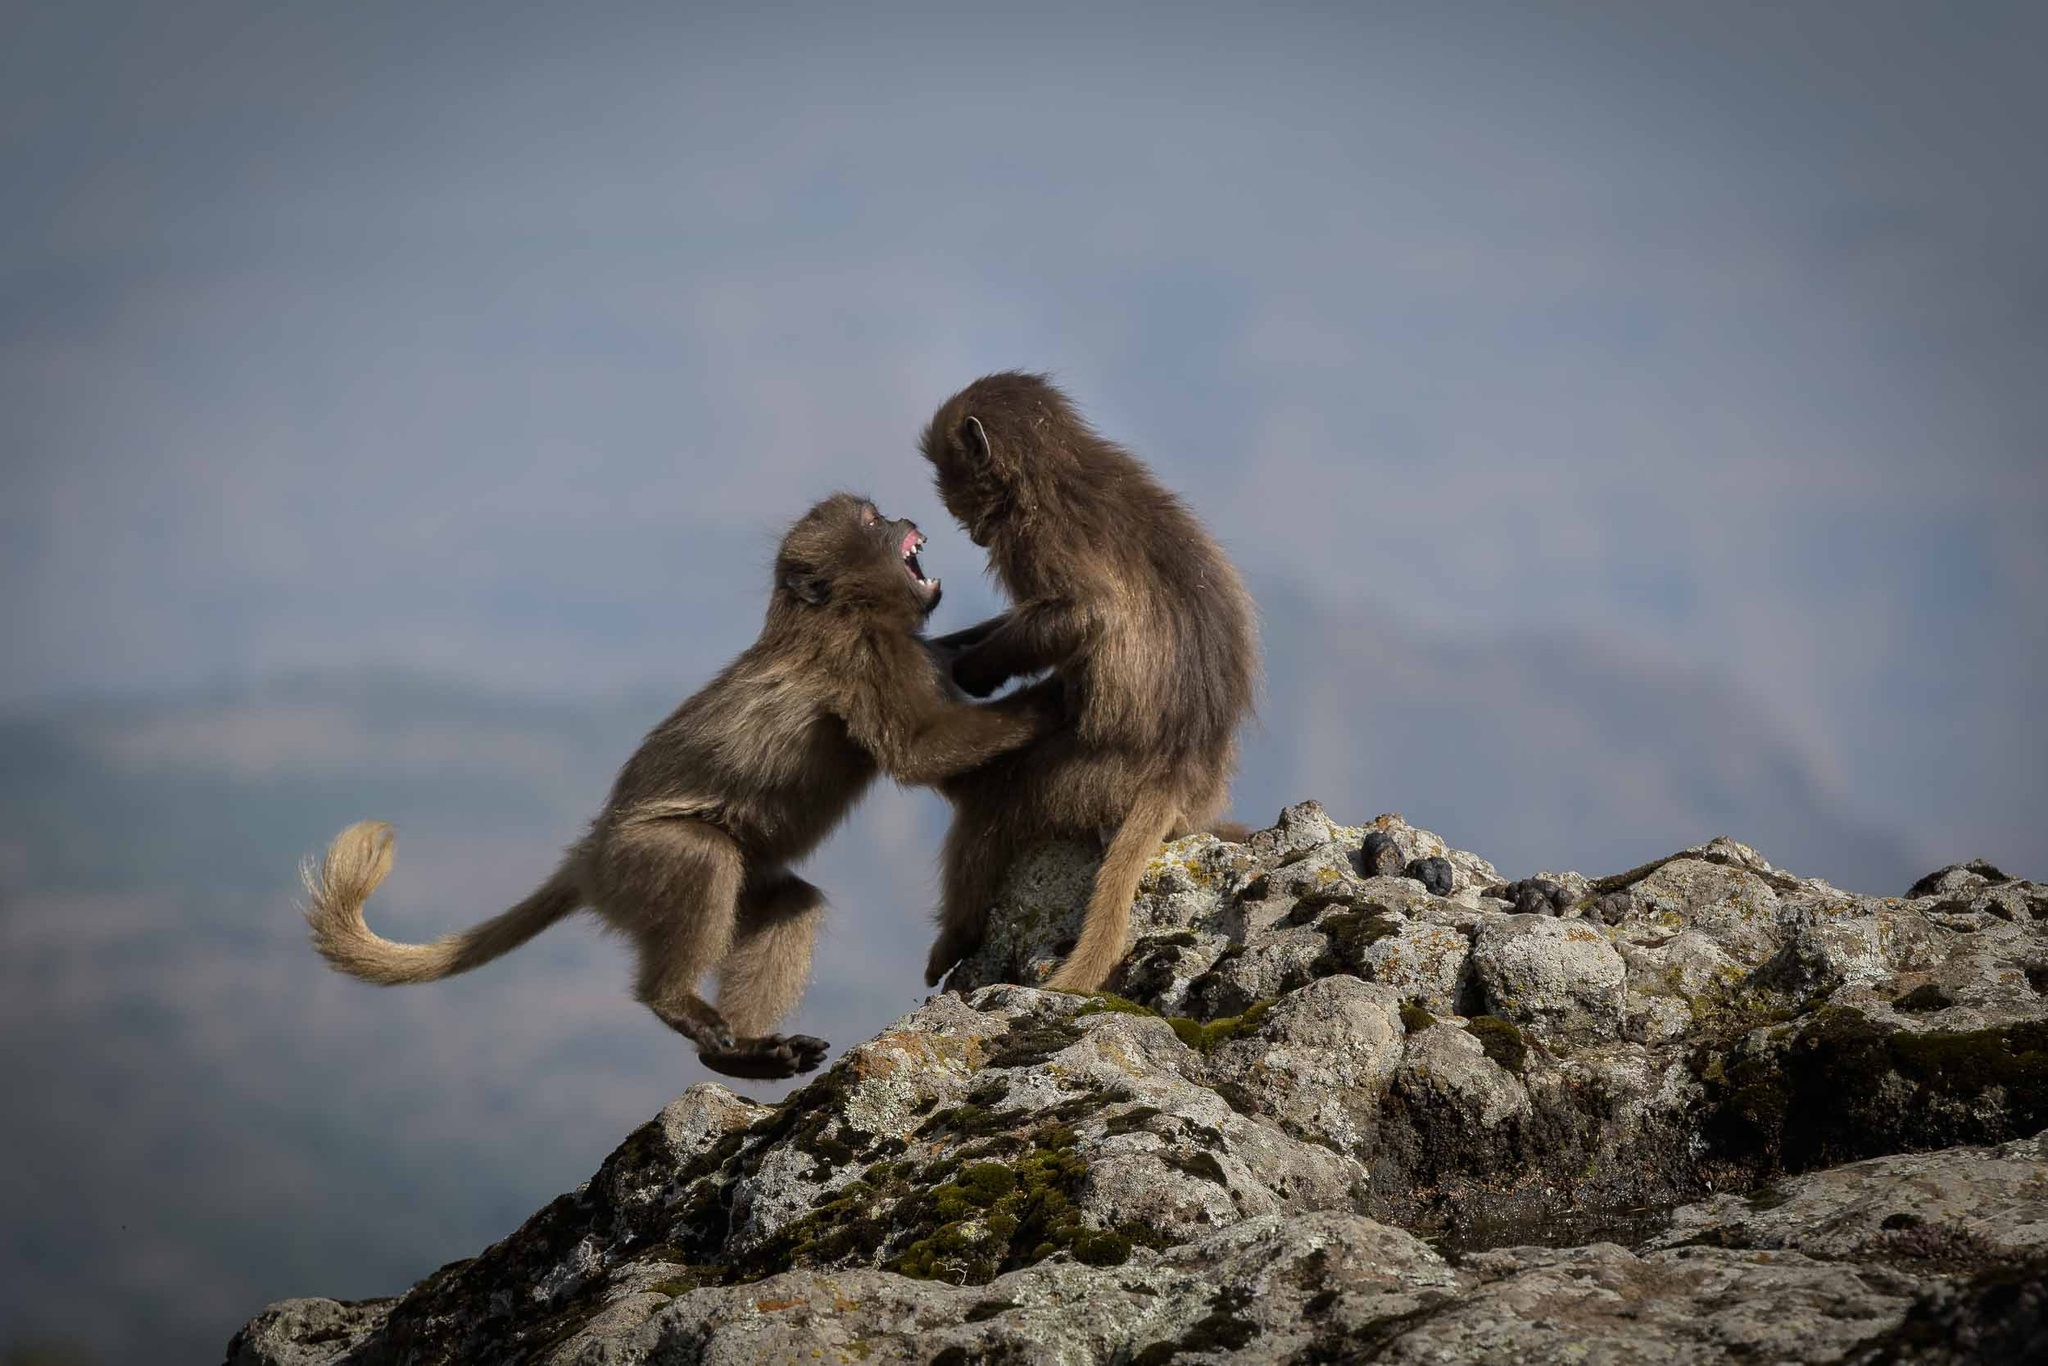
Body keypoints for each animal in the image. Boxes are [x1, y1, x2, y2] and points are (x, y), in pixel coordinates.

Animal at [301, 493, 1050, 1081]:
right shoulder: (864, 661)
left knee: (789, 900)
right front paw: (1043, 705)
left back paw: (743, 1052)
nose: (905, 516)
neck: (837, 614)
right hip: (639, 863)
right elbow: (914, 751)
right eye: (870, 520)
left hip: (715, 879)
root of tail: (588, 854)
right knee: (703, 858)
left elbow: (944, 681)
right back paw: (680, 1006)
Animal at [918, 373, 1259, 992]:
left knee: (993, 804)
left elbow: (1085, 615)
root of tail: (1182, 769)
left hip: (1081, 781)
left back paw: (955, 938)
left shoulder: (1035, 537)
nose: (968, 529)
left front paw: (975, 669)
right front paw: (954, 646)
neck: (1052, 469)